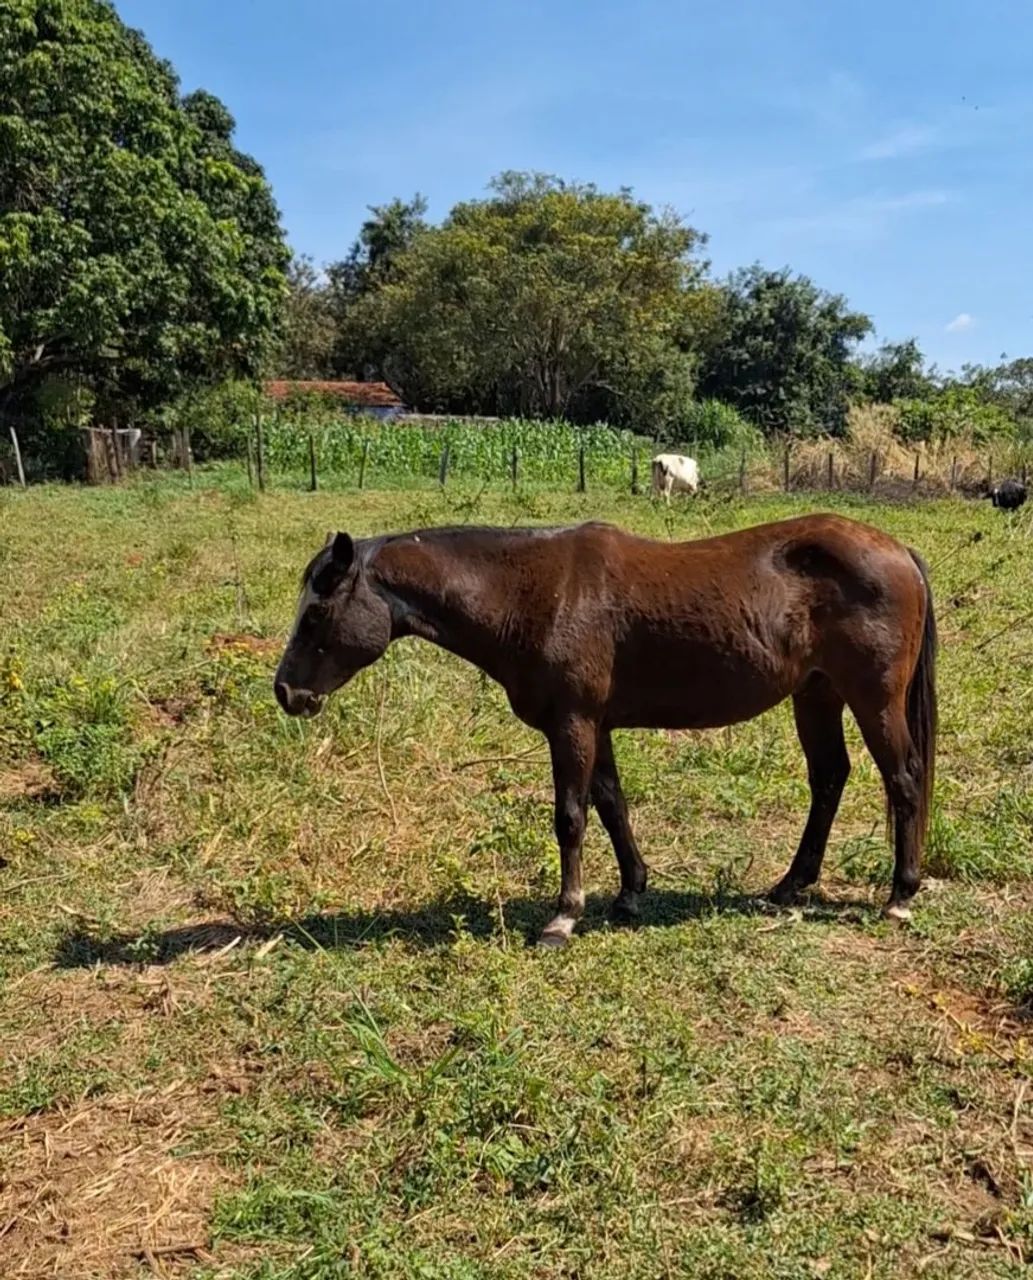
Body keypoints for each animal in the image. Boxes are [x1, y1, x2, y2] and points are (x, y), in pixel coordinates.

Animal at [274, 514, 937, 948]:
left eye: (317, 612)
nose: (285, 692)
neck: (533, 595)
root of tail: (898, 550)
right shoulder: (598, 725)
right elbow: (612, 803)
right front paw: (630, 893)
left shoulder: (572, 725)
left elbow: (571, 816)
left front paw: (564, 916)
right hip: (816, 694)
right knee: (829, 779)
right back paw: (791, 884)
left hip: (873, 700)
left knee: (903, 780)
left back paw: (900, 896)